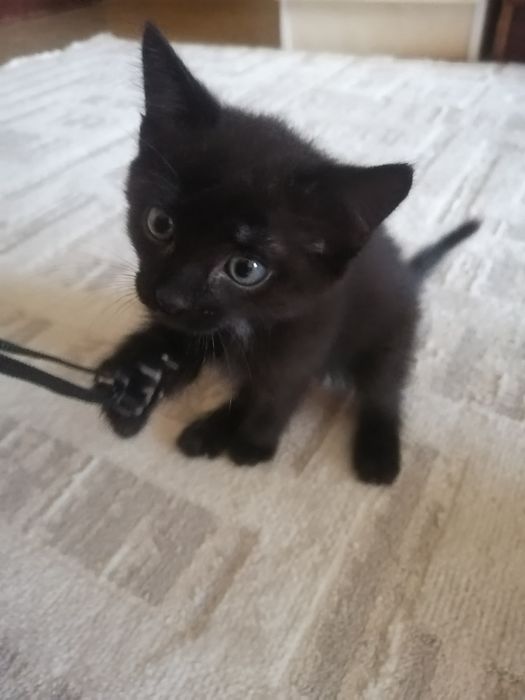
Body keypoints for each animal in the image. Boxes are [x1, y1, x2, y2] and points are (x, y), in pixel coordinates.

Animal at [96, 23, 479, 484]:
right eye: (159, 223)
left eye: (245, 268)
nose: (169, 297)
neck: (244, 323)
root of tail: (407, 269)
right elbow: (187, 351)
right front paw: (133, 379)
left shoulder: (308, 334)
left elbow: (278, 391)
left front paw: (255, 442)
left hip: (390, 329)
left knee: (384, 385)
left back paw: (377, 452)